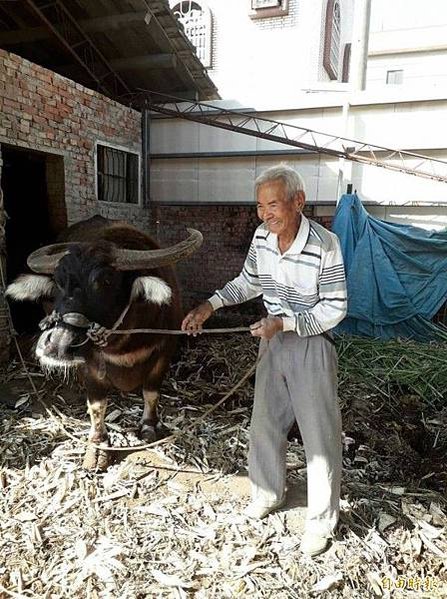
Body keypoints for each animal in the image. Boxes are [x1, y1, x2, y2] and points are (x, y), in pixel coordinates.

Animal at [6, 216, 203, 474]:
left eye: (106, 281)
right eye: (58, 281)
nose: (57, 344)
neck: (123, 346)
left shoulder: (163, 353)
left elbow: (151, 392)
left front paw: (149, 426)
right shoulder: (90, 369)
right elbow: (97, 406)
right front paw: (98, 446)